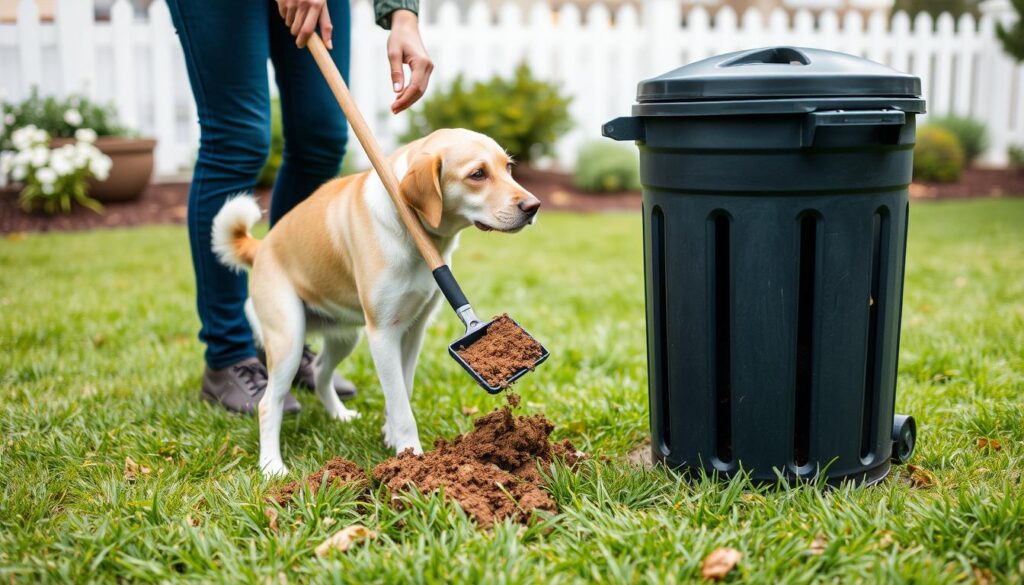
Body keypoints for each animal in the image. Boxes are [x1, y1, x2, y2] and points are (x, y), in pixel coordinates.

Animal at [210, 128, 540, 475]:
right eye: (477, 174)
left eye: (508, 167)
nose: (534, 206)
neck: (413, 232)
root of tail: (260, 247)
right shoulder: (383, 334)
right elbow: (400, 403)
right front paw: (411, 457)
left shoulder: (413, 330)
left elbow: (402, 391)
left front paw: (391, 435)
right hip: (288, 340)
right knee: (268, 404)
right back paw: (272, 466)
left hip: (345, 336)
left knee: (320, 369)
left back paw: (338, 415)